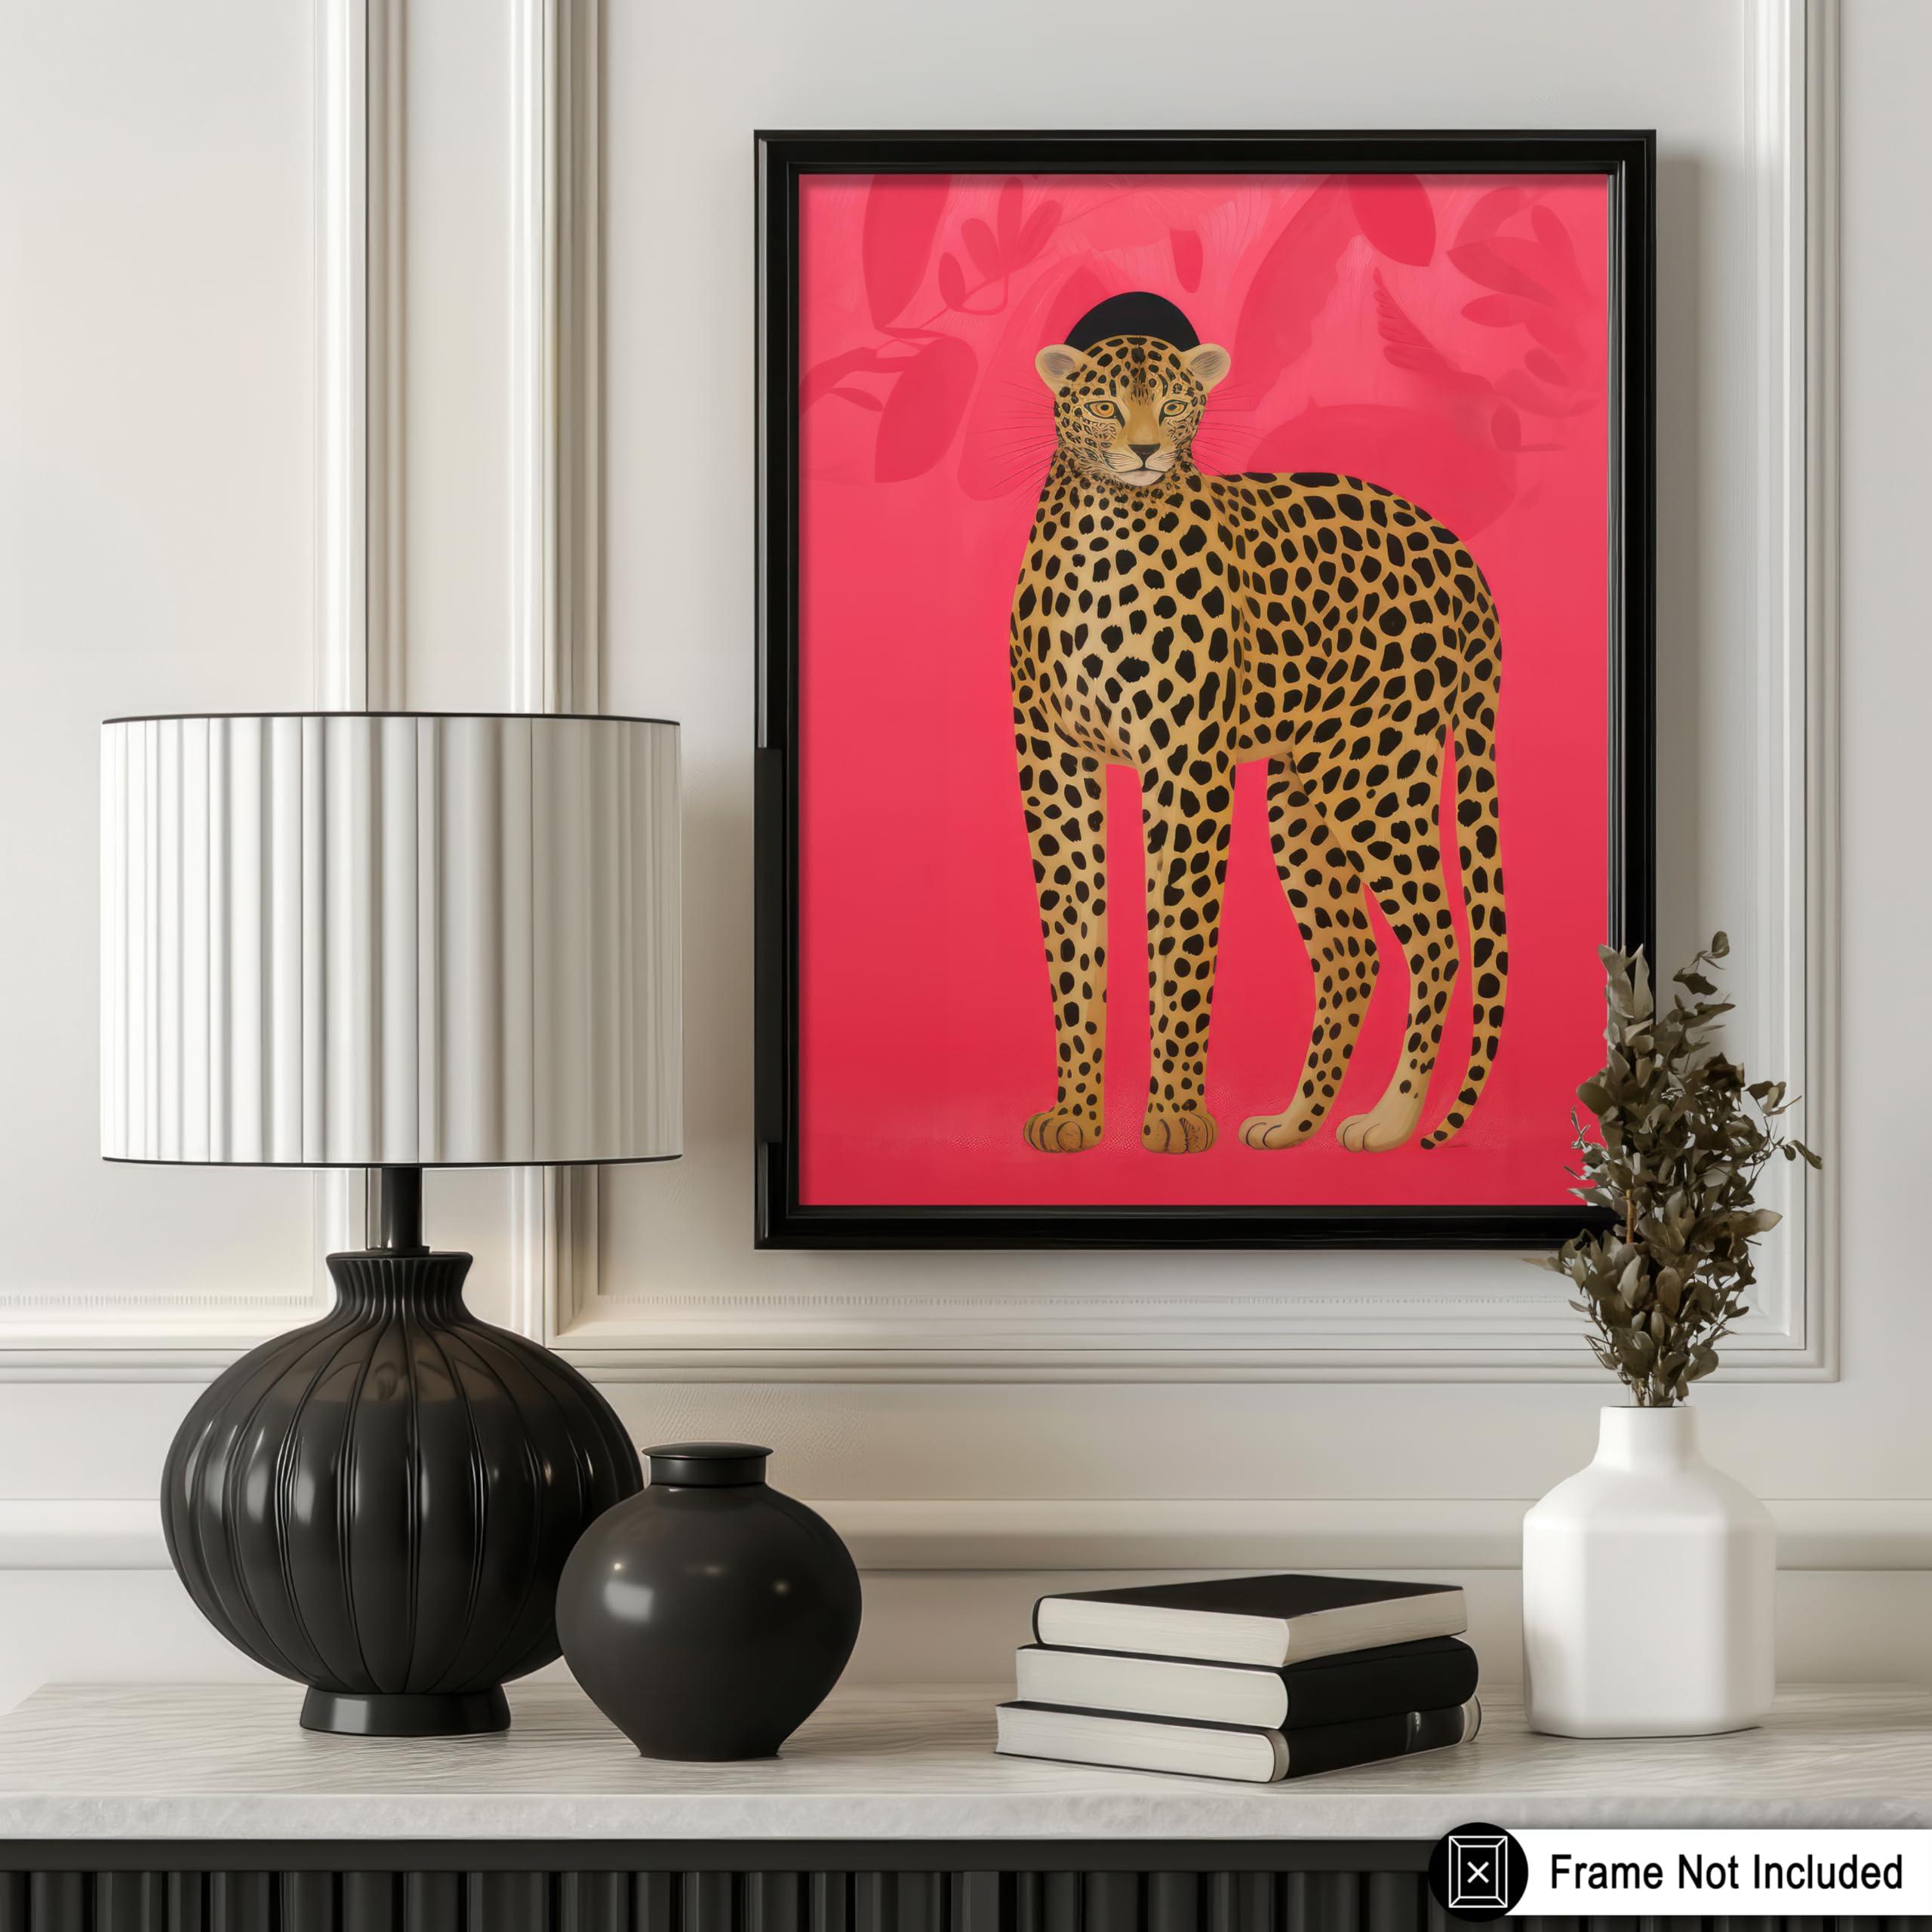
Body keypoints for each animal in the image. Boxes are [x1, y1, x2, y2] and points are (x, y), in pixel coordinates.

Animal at [1009, 291, 1506, 1157]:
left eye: (1175, 404)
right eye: (1105, 406)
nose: (1145, 451)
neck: (1104, 528)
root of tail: (1451, 547)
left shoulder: (1184, 766)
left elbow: (1181, 937)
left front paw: (1174, 1117)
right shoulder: (1053, 765)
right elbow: (1073, 942)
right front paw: (1075, 1115)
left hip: (1374, 775)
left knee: (1438, 939)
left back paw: (1388, 1122)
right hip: (1301, 795)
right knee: (1351, 957)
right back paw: (1294, 1124)